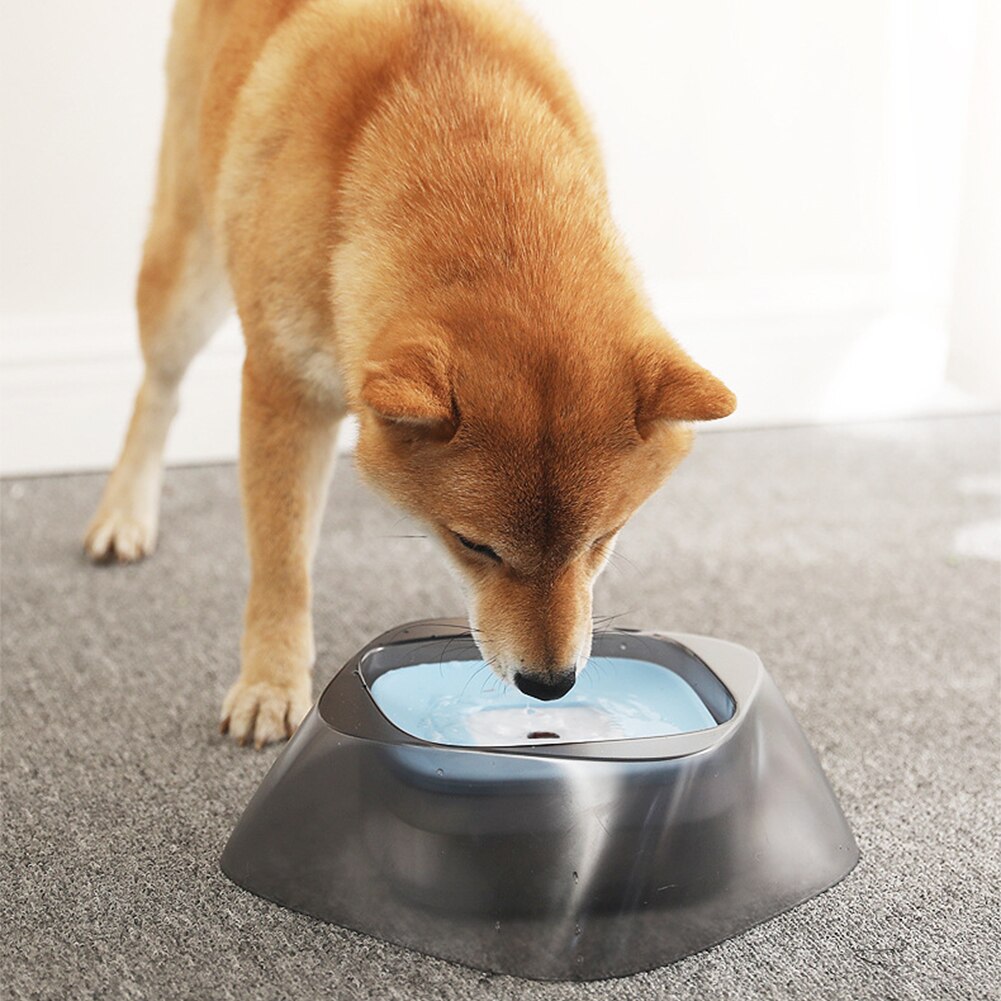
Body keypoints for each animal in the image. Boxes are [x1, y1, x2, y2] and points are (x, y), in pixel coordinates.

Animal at [84, 0, 736, 744]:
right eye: (473, 544)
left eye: (603, 538)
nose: (550, 685)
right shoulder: (285, 391)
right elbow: (282, 563)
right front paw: (270, 682)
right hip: (188, 269)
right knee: (157, 389)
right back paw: (124, 513)